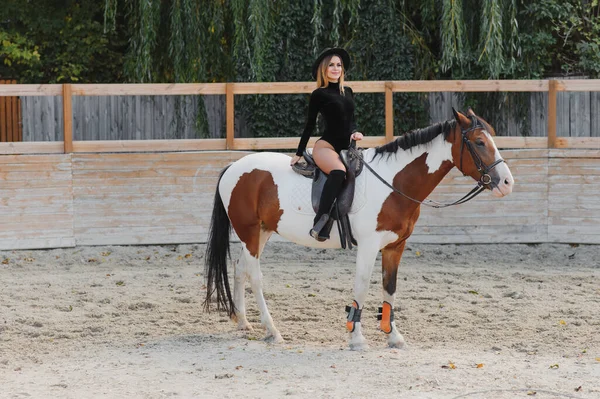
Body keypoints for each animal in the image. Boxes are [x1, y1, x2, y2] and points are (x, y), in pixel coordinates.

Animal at [204, 108, 512, 350]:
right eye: (479, 142)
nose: (507, 182)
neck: (394, 181)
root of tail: (234, 166)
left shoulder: (395, 246)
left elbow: (389, 288)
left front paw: (393, 336)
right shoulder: (368, 245)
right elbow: (362, 287)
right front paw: (356, 338)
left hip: (262, 232)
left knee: (241, 269)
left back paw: (243, 322)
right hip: (249, 233)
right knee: (255, 276)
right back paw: (272, 330)